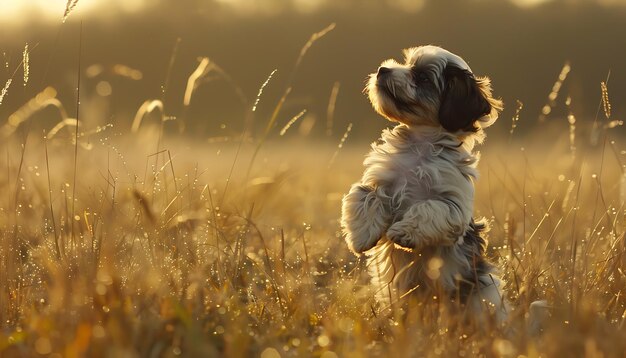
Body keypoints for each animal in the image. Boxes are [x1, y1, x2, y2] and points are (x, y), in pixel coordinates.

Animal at [342, 45, 508, 324]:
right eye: (406, 64)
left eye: (421, 77)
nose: (383, 69)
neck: (420, 144)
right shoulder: (380, 181)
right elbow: (364, 195)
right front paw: (362, 237)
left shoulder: (452, 206)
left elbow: (428, 208)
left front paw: (403, 232)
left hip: (482, 293)